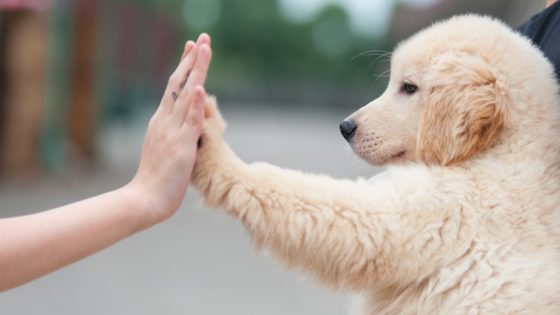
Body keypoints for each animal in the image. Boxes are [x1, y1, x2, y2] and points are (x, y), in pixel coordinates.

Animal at [192, 15, 560, 315]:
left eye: (409, 88)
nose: (345, 127)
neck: (502, 151)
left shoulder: (432, 215)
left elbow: (311, 200)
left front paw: (214, 151)